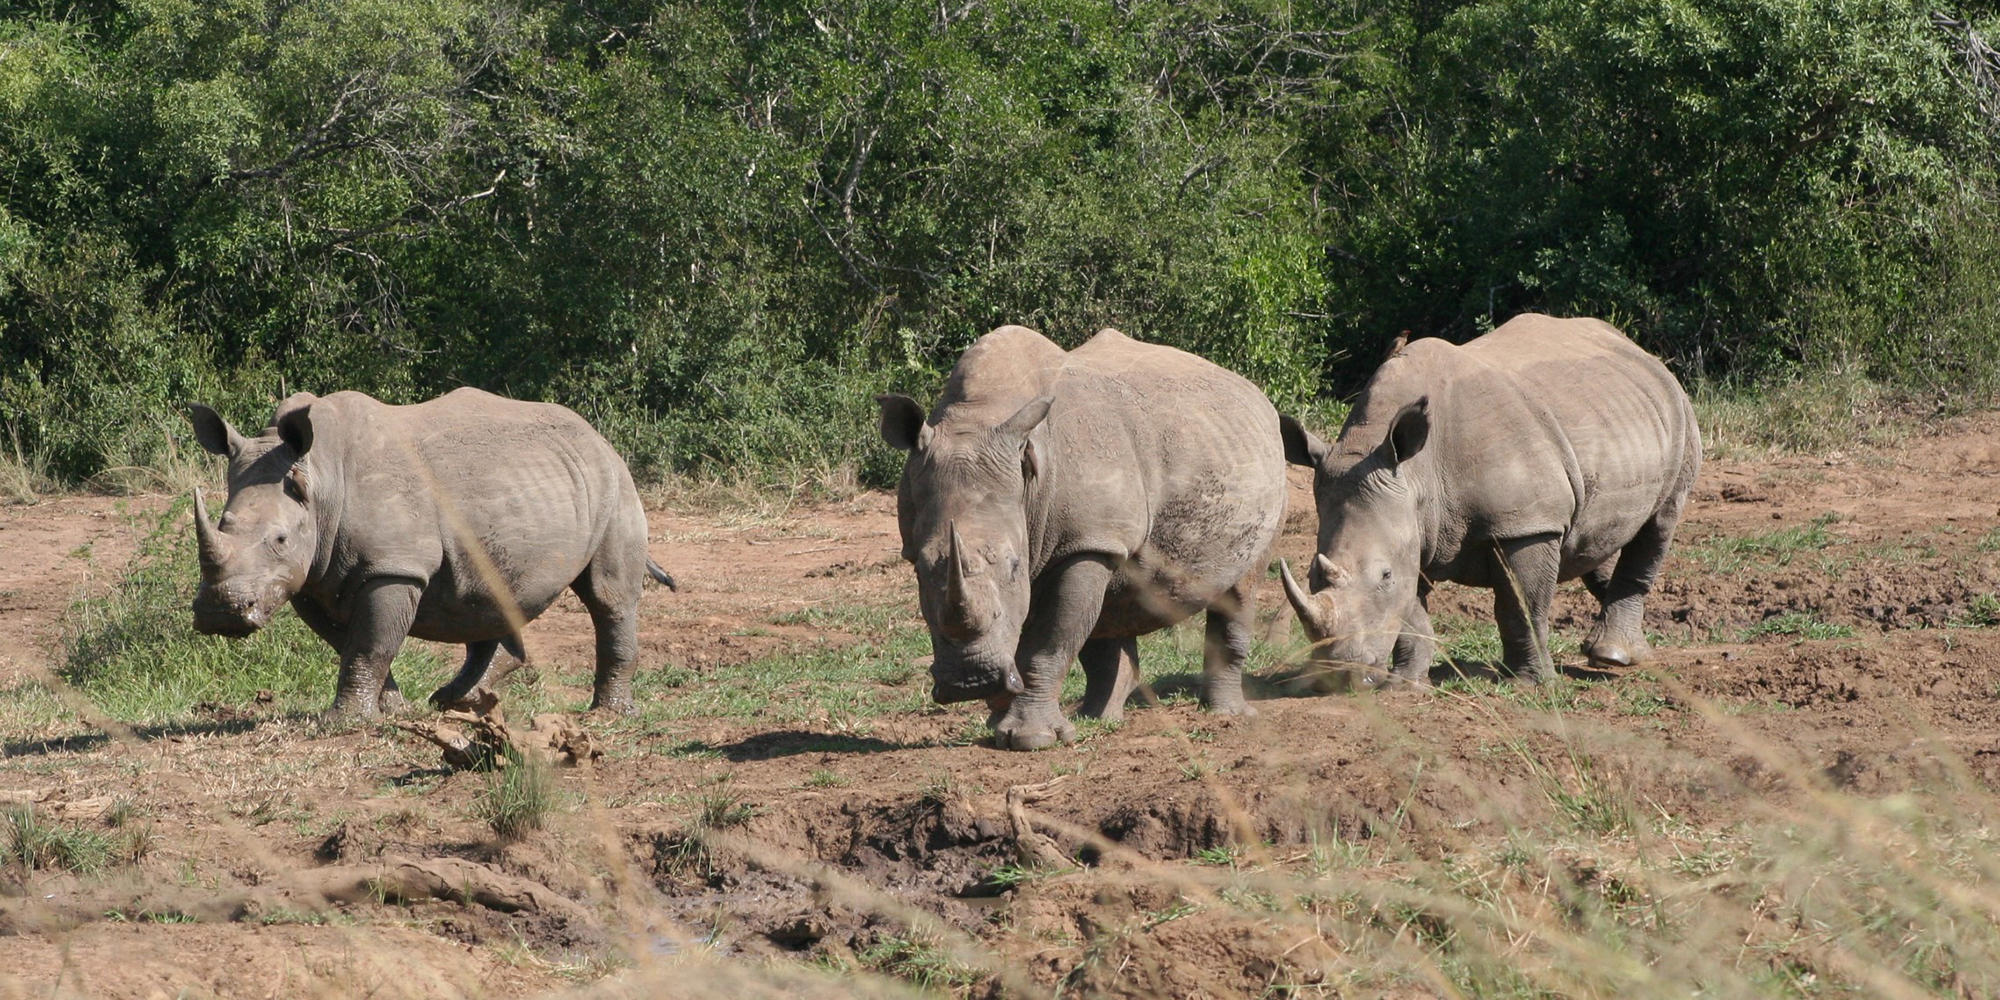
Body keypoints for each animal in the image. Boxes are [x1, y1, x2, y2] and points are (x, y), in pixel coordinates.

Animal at [186, 388, 675, 718]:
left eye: (281, 540)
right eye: (223, 524)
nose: (221, 612)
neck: (319, 479)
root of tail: (596, 435)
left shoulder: (392, 566)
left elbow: (369, 643)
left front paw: (345, 720)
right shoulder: (310, 577)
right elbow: (353, 642)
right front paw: (391, 710)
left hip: (614, 484)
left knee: (608, 597)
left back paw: (608, 713)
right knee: (485, 594)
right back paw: (457, 701)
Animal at [876, 326, 1286, 750]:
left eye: (1014, 566)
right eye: (919, 570)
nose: (970, 681)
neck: (980, 417)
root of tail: (1254, 394)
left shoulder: (1085, 542)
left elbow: (1050, 639)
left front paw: (1032, 739)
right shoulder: (1088, 535)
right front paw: (1001, 721)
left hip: (1264, 465)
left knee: (1240, 588)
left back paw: (1227, 715)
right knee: (1110, 609)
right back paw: (1097, 719)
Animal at [1277, 314, 1700, 687]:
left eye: (1384, 575)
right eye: (1312, 574)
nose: (1339, 675)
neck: (1417, 475)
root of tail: (1639, 350)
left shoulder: (1527, 524)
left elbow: (1521, 605)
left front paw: (1530, 684)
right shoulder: (1412, 527)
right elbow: (1411, 614)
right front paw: (1407, 683)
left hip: (1679, 412)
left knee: (1659, 523)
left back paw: (1613, 657)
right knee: (1594, 534)